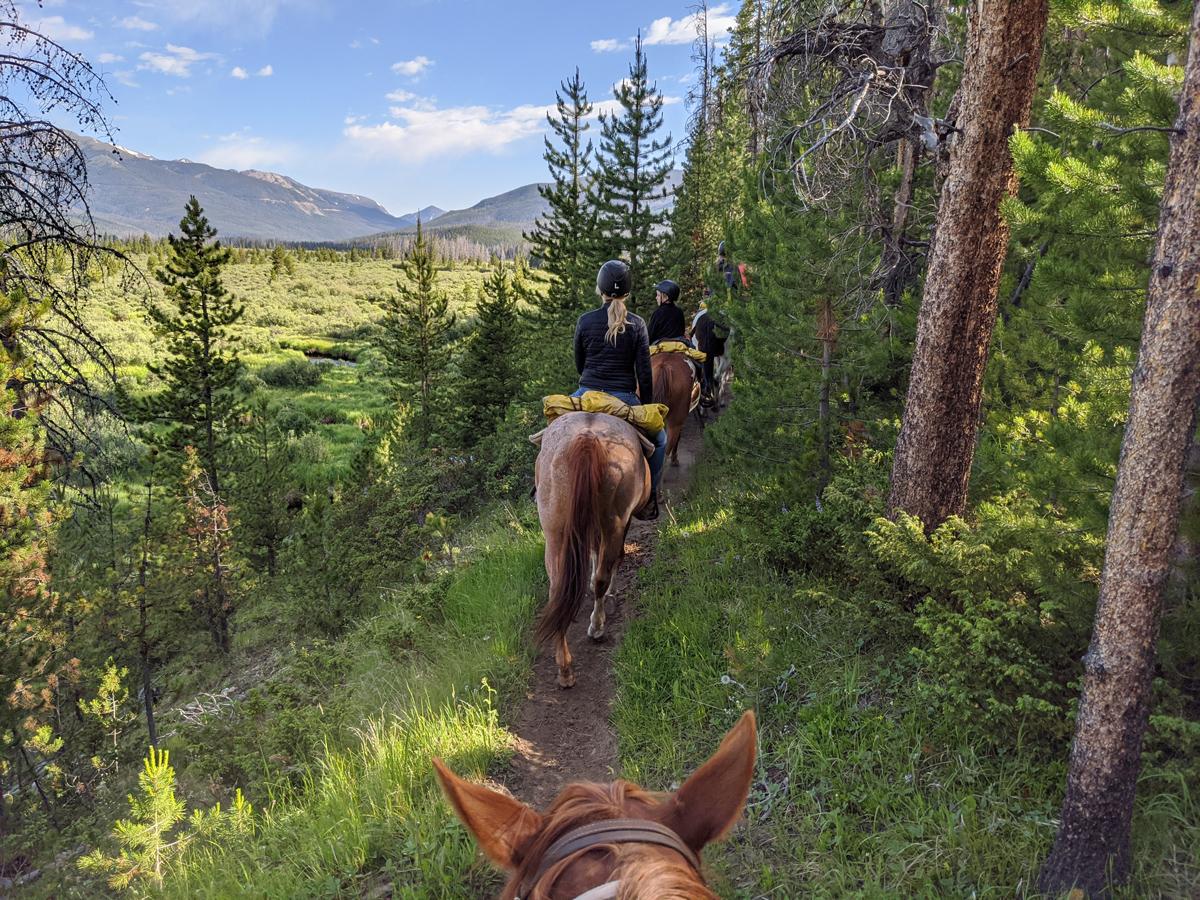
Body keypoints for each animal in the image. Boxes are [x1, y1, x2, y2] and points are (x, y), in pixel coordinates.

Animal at [532, 415, 648, 691]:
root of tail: (587, 438)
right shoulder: (621, 523)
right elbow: (612, 560)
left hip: (555, 531)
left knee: (556, 589)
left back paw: (565, 669)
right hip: (613, 521)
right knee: (602, 578)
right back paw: (597, 627)